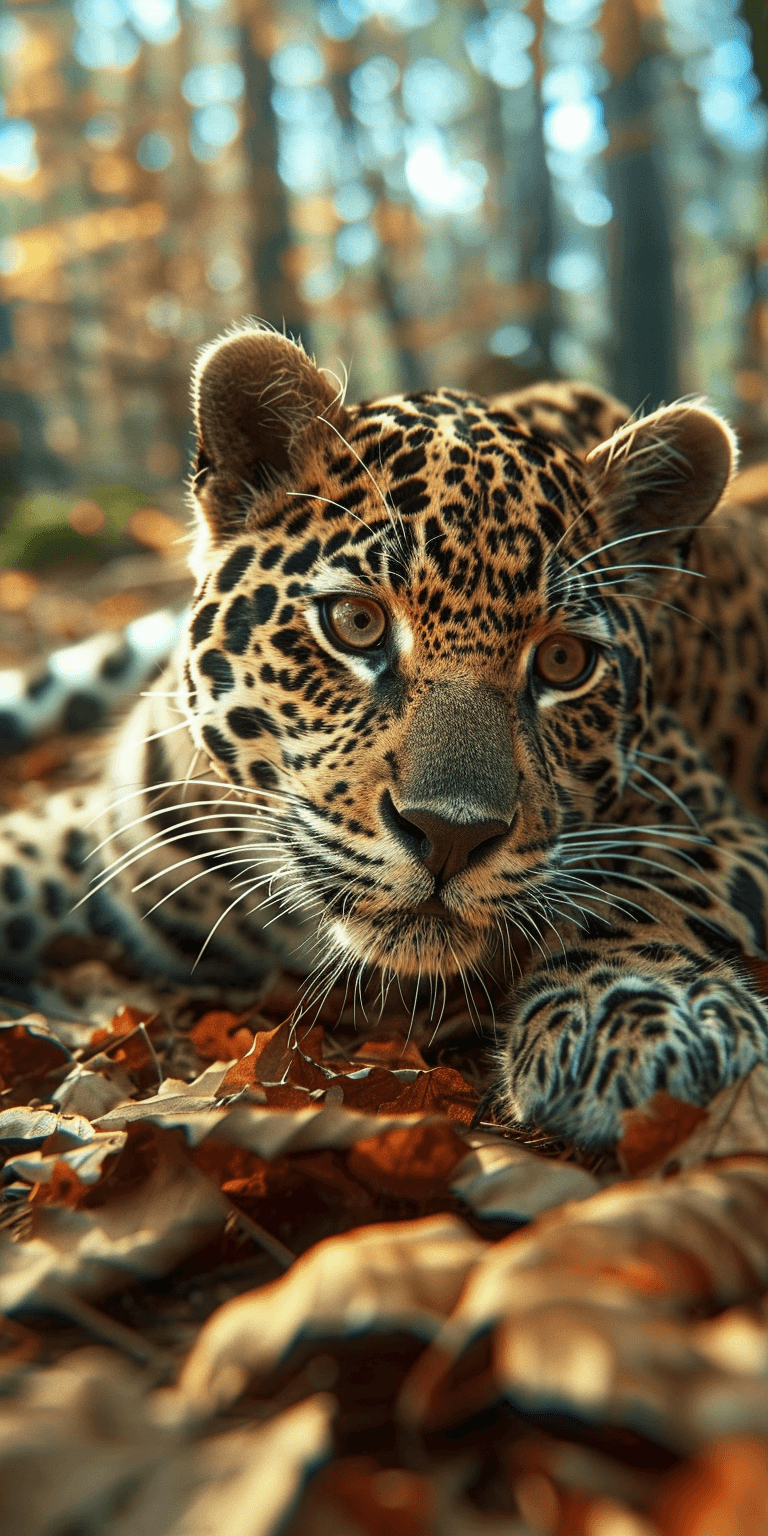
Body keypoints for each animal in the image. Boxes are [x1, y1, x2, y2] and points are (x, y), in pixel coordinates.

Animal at [3, 319, 768, 1146]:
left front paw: (635, 1008)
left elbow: (658, 875)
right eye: (356, 622)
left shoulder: (715, 813)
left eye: (564, 661)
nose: (451, 836)